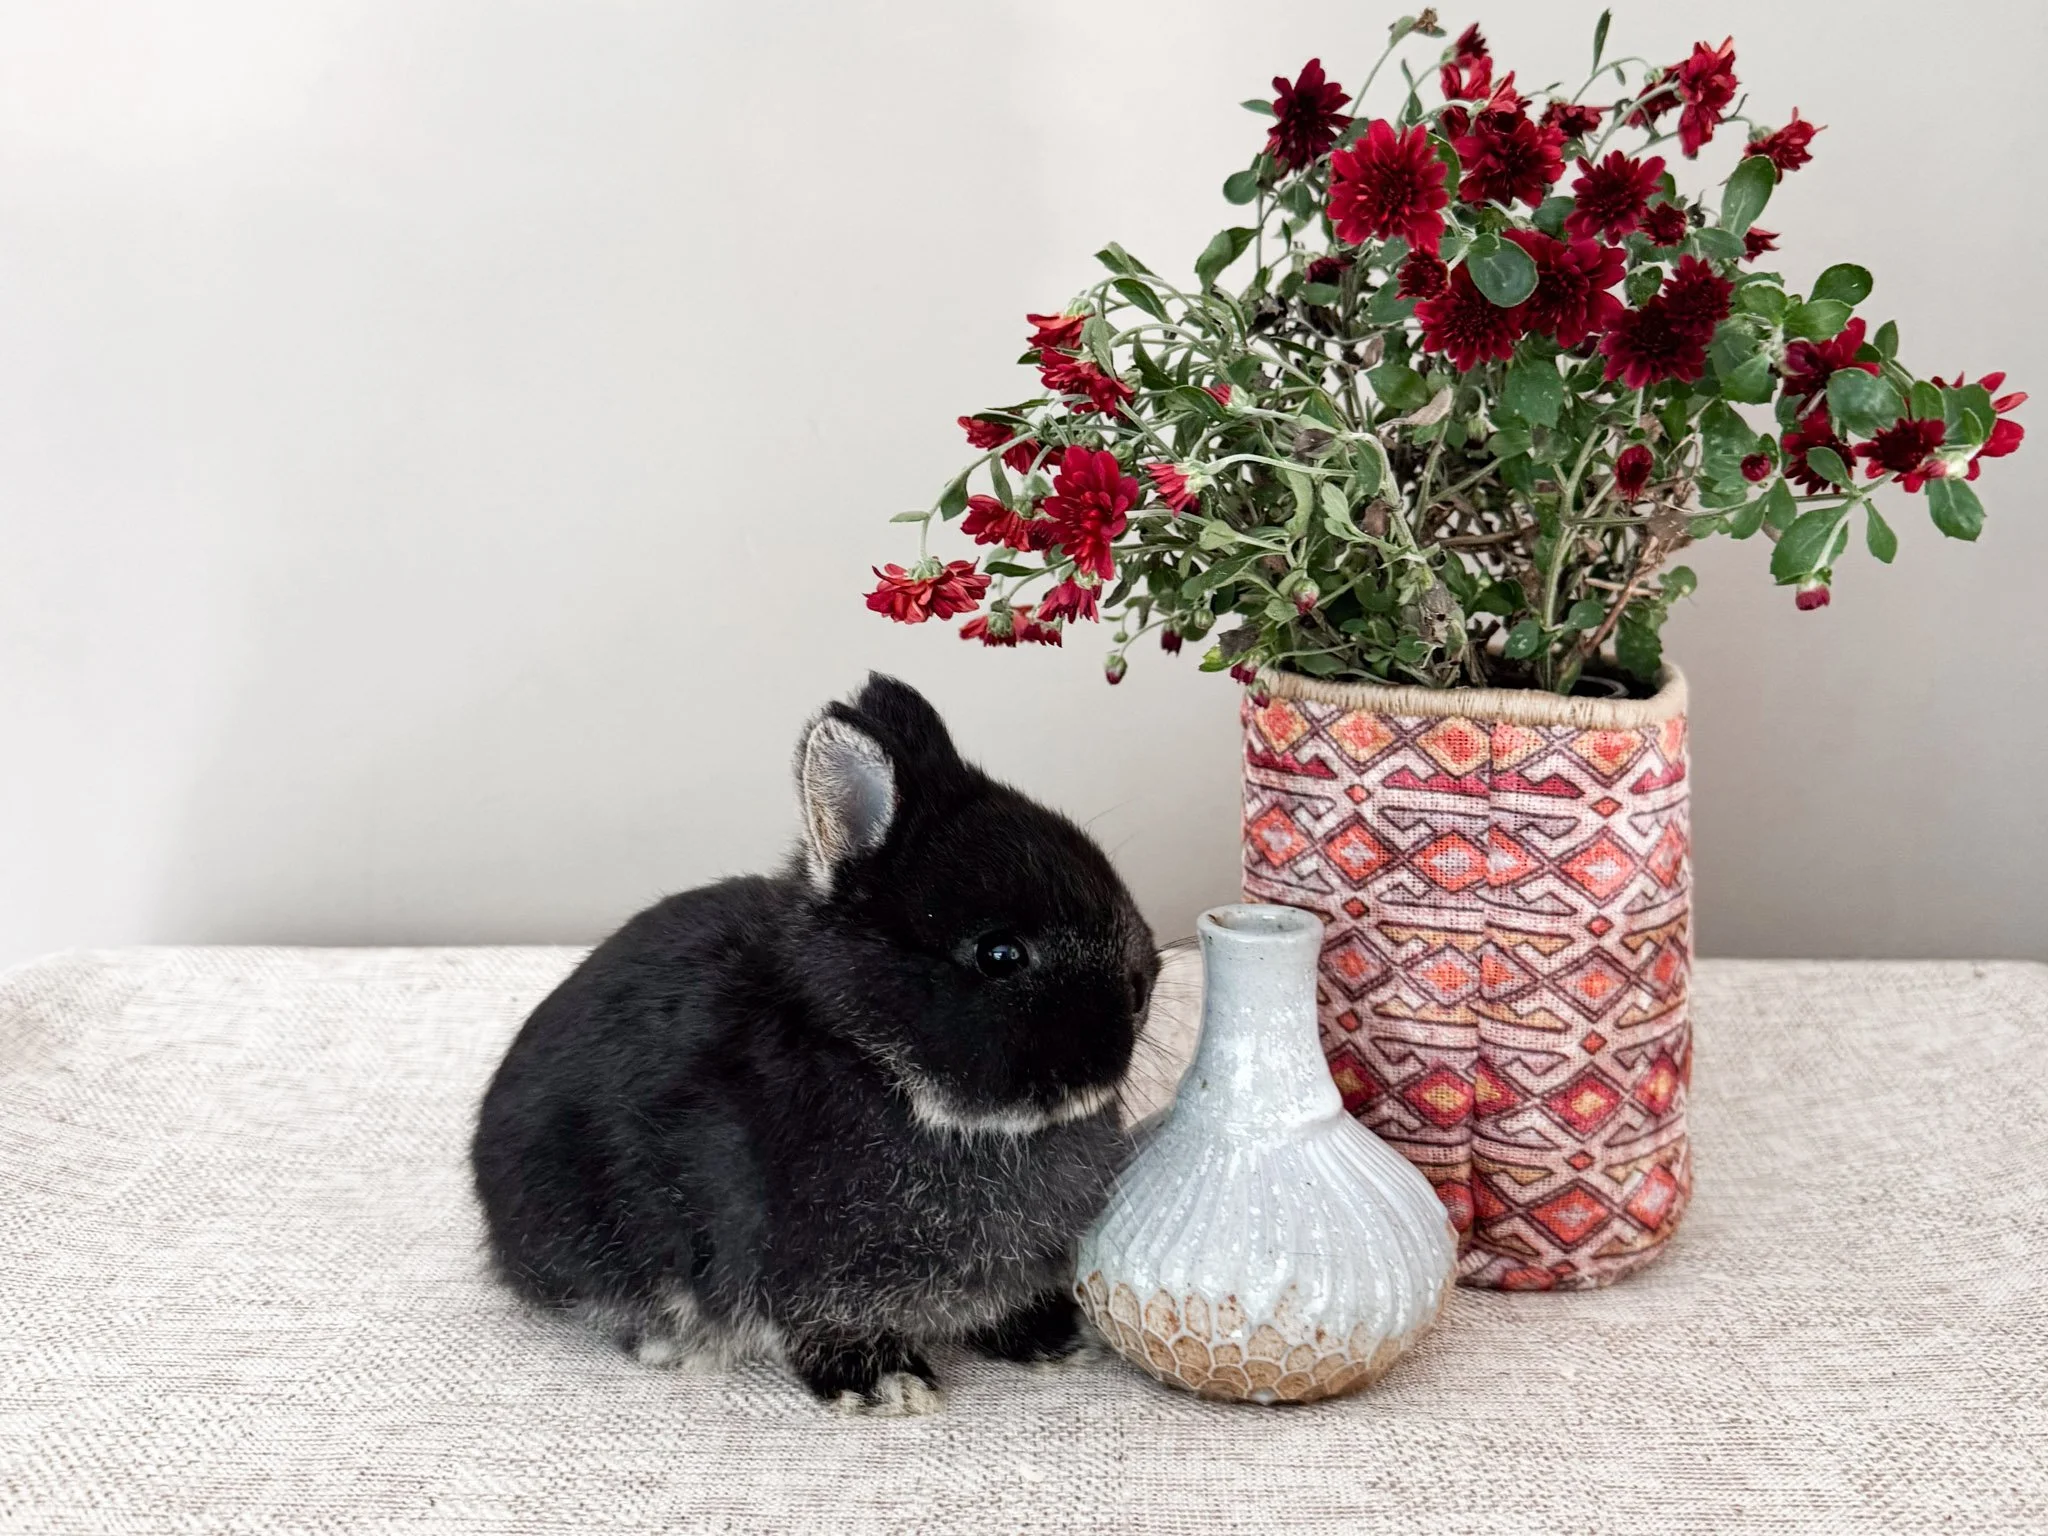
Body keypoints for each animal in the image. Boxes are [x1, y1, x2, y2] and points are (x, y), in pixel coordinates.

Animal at [470, 674, 1158, 1415]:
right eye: (999, 955)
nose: (1146, 982)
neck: (879, 1068)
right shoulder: (790, 1270)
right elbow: (822, 1327)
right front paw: (887, 1385)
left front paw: (1058, 1340)